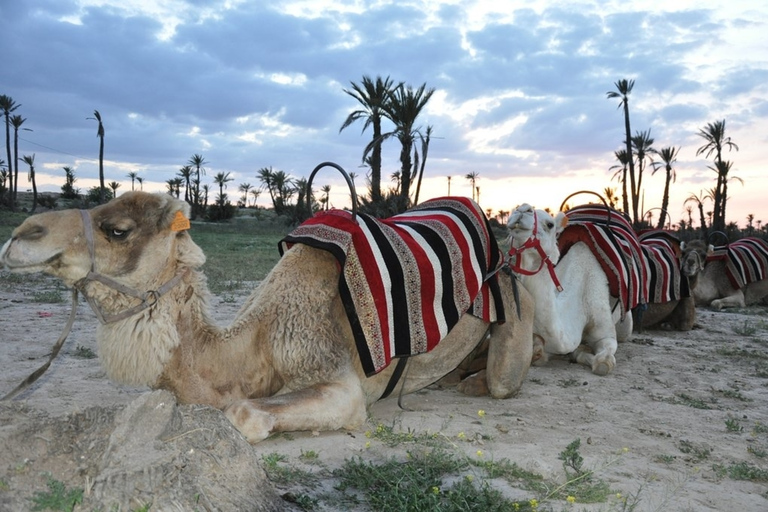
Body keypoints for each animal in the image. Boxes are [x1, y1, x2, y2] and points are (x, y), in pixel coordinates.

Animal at [0, 192, 536, 444]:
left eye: (118, 229)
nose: (21, 235)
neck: (251, 346)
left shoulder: (336, 376)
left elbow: (243, 414)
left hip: (514, 296)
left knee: (505, 372)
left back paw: (478, 380)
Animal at [504, 204, 632, 376]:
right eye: (513, 211)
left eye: (550, 224)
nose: (523, 209)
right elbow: (539, 353)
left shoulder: (605, 331)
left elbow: (603, 363)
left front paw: (584, 353)